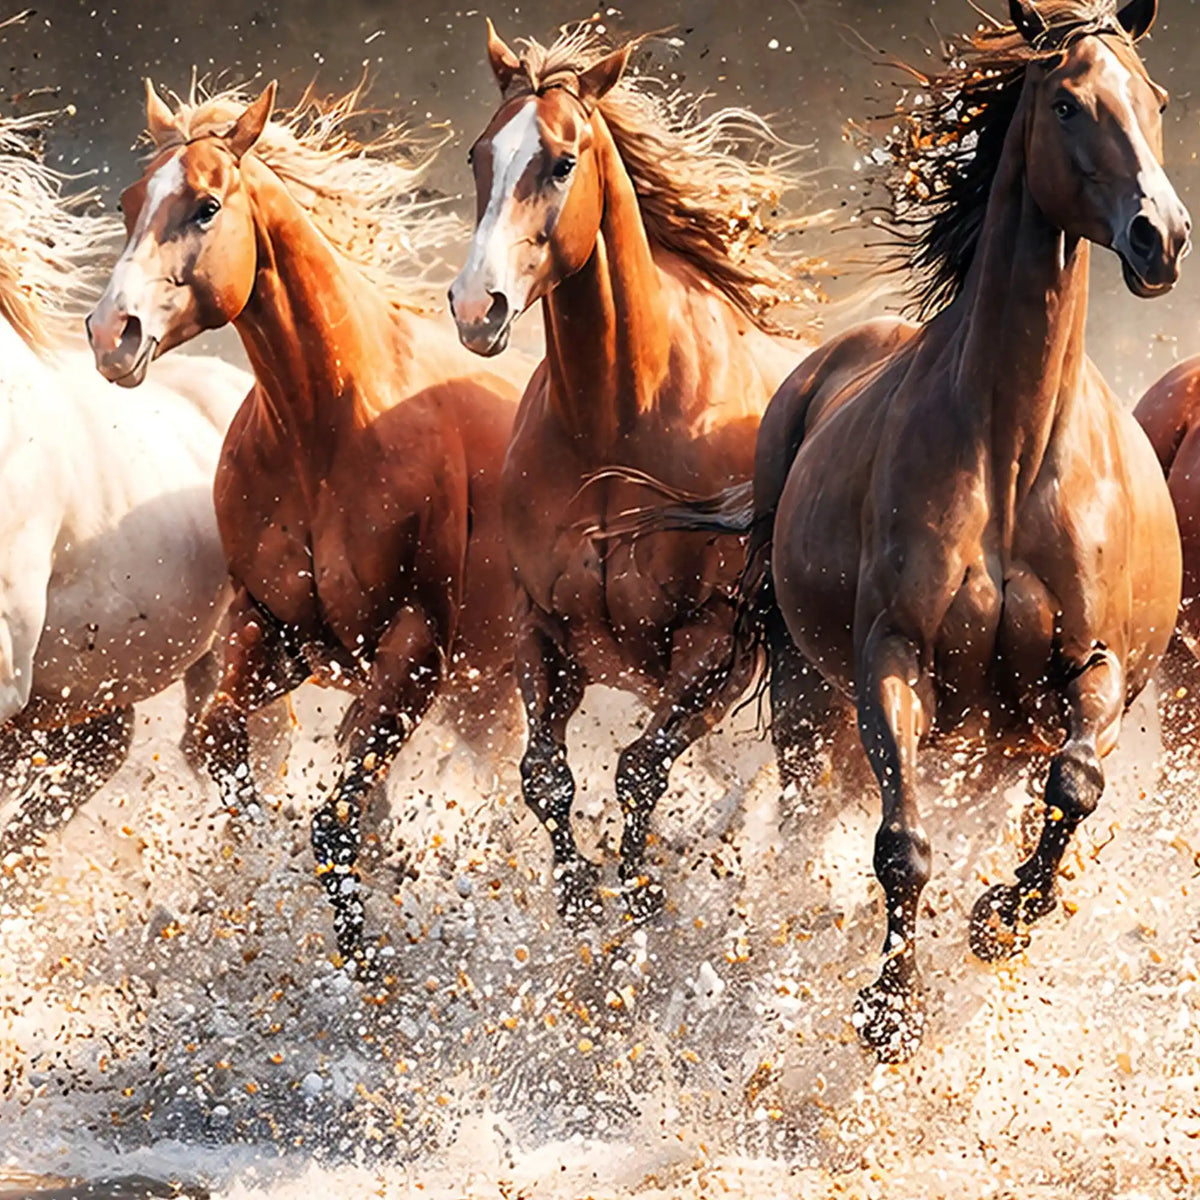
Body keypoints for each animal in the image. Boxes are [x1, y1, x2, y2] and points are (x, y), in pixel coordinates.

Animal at [85, 82, 534, 964]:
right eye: (127, 202)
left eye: (206, 205)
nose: (112, 335)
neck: (327, 430)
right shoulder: (272, 630)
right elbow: (222, 749)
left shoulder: (412, 651)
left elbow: (335, 824)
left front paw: (364, 963)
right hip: (486, 693)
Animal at [448, 22, 821, 921]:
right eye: (480, 154)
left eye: (560, 161)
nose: (477, 308)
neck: (616, 427)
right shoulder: (542, 629)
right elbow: (545, 777)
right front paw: (583, 895)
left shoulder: (714, 649)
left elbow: (640, 770)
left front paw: (642, 897)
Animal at [604, 0, 1189, 1060]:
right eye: (1069, 101)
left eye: (1156, 99)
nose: (1159, 236)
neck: (1010, 448)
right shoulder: (894, 654)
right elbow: (902, 845)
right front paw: (891, 1010)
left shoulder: (1090, 668)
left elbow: (1077, 783)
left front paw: (1000, 920)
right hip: (806, 691)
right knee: (785, 813)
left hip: (990, 739)